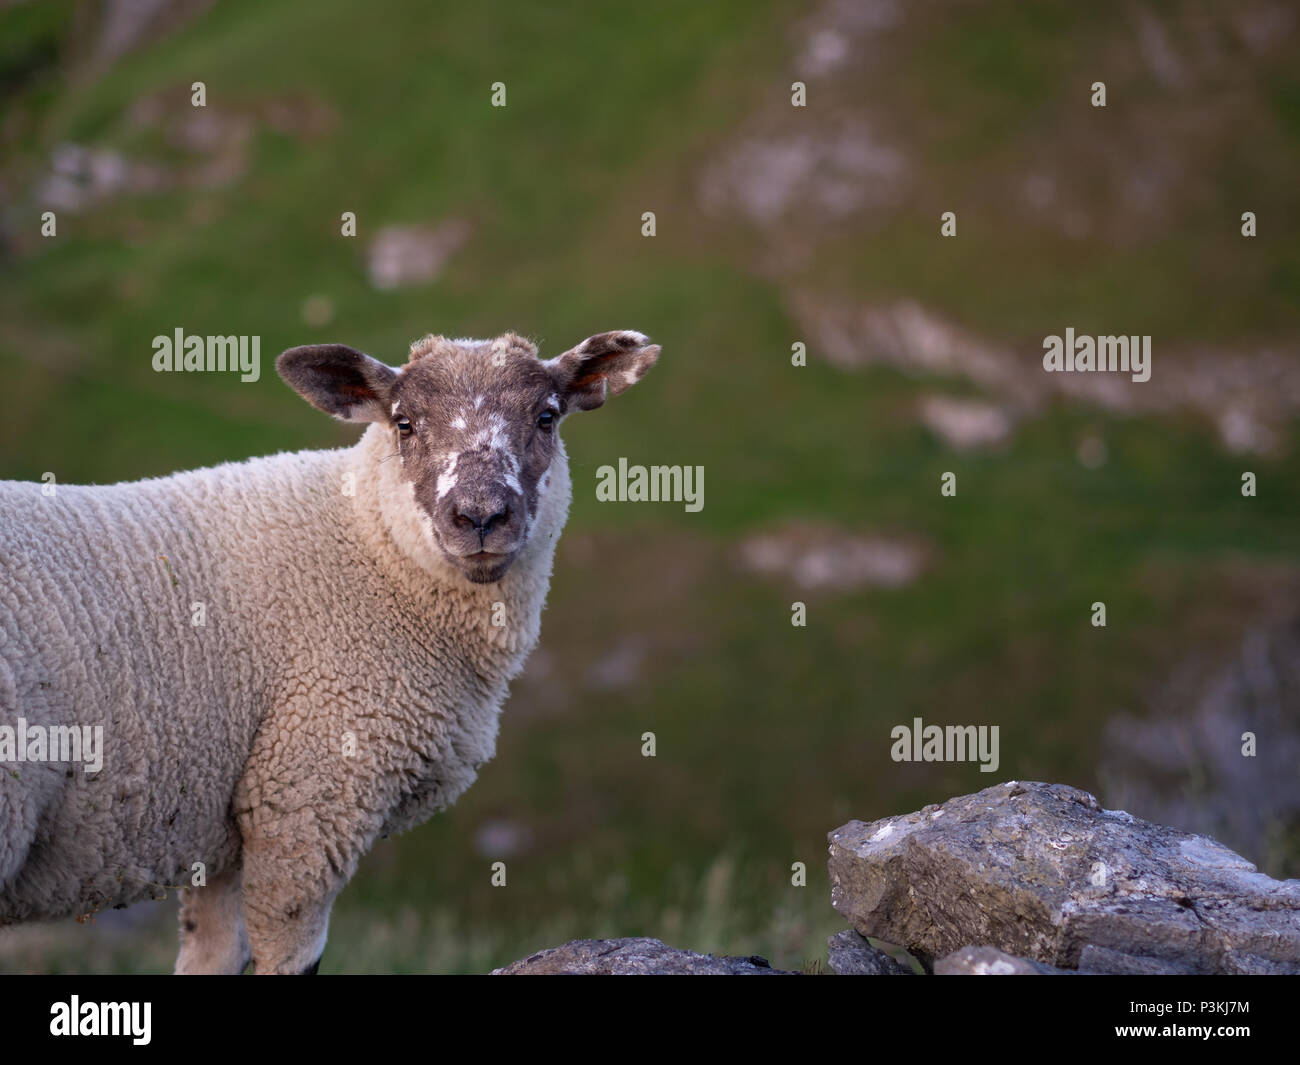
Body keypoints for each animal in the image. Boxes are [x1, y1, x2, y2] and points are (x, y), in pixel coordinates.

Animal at [0, 328, 660, 972]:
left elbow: (212, 952)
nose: (479, 517)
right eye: (404, 423)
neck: (369, 549)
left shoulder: (224, 829)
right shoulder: (308, 800)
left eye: (547, 416)